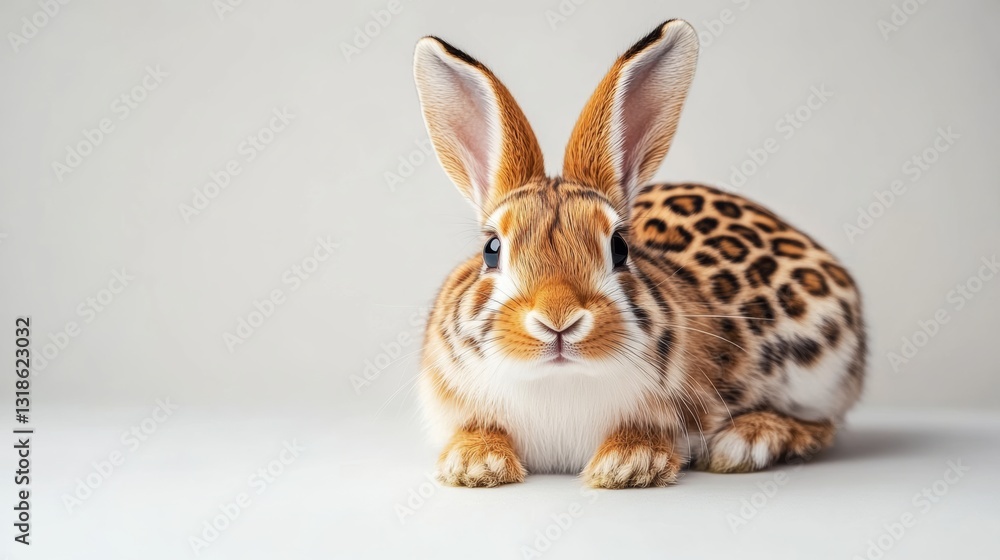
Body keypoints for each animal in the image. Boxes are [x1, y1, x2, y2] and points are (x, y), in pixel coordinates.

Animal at [411, 19, 865, 488]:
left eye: (619, 247)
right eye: (492, 249)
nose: (558, 318)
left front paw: (628, 464)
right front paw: (474, 463)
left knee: (825, 424)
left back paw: (746, 441)